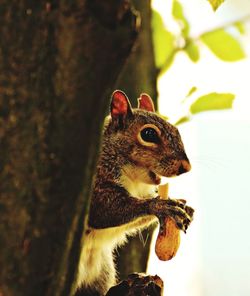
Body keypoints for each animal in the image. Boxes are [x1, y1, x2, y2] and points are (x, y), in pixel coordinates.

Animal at [75, 91, 194, 296]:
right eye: (148, 134)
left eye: (177, 131)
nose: (186, 167)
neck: (133, 178)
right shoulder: (94, 186)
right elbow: (104, 210)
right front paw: (161, 206)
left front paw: (182, 205)